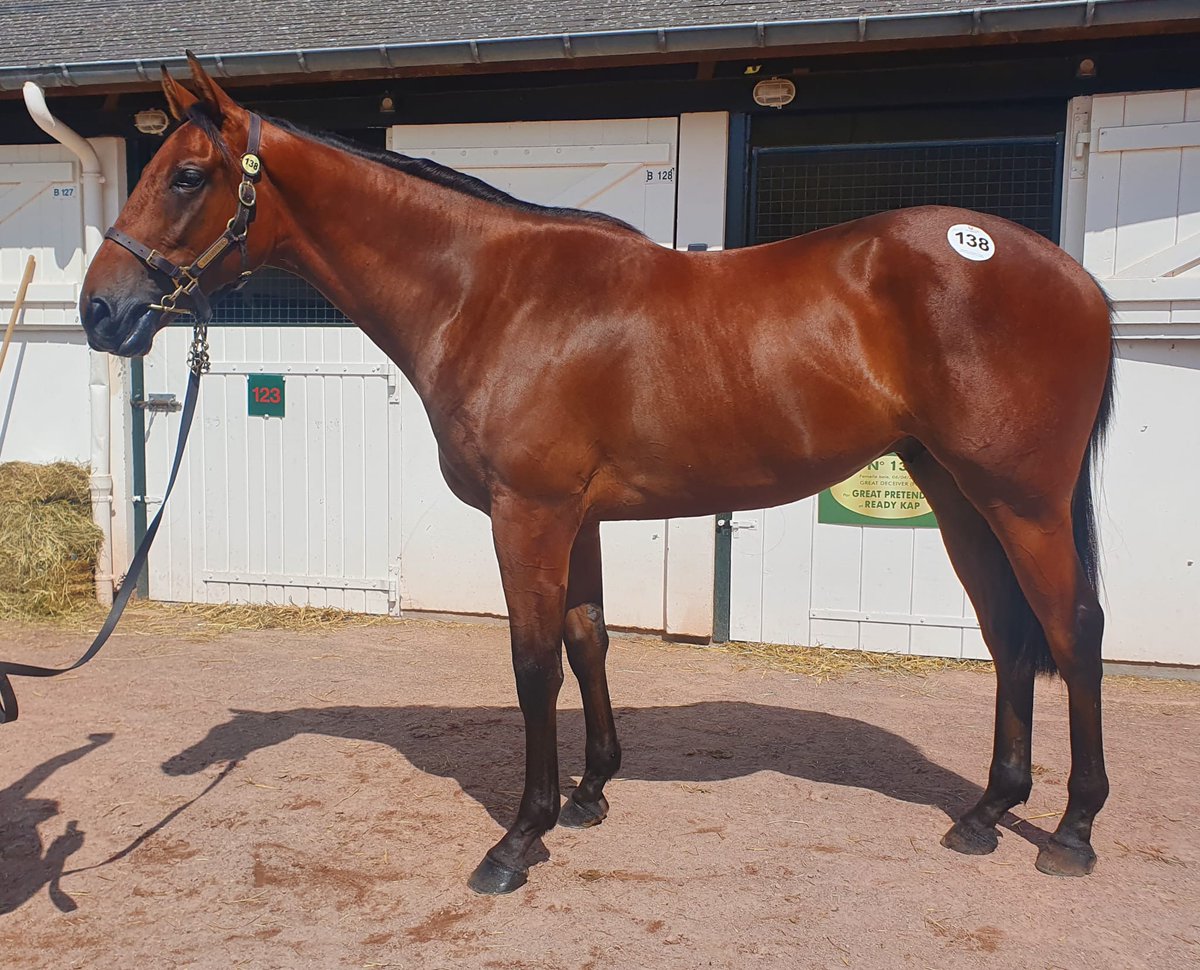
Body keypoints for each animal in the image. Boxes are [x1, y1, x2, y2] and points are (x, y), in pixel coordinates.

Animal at [80, 54, 1116, 895]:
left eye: (186, 175)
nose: (100, 312)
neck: (492, 294)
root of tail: (1073, 276)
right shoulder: (574, 518)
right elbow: (588, 642)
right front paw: (589, 793)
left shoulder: (528, 512)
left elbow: (534, 662)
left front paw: (519, 837)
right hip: (956, 492)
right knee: (1009, 634)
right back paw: (987, 812)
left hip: (1022, 498)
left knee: (1073, 628)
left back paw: (1071, 830)